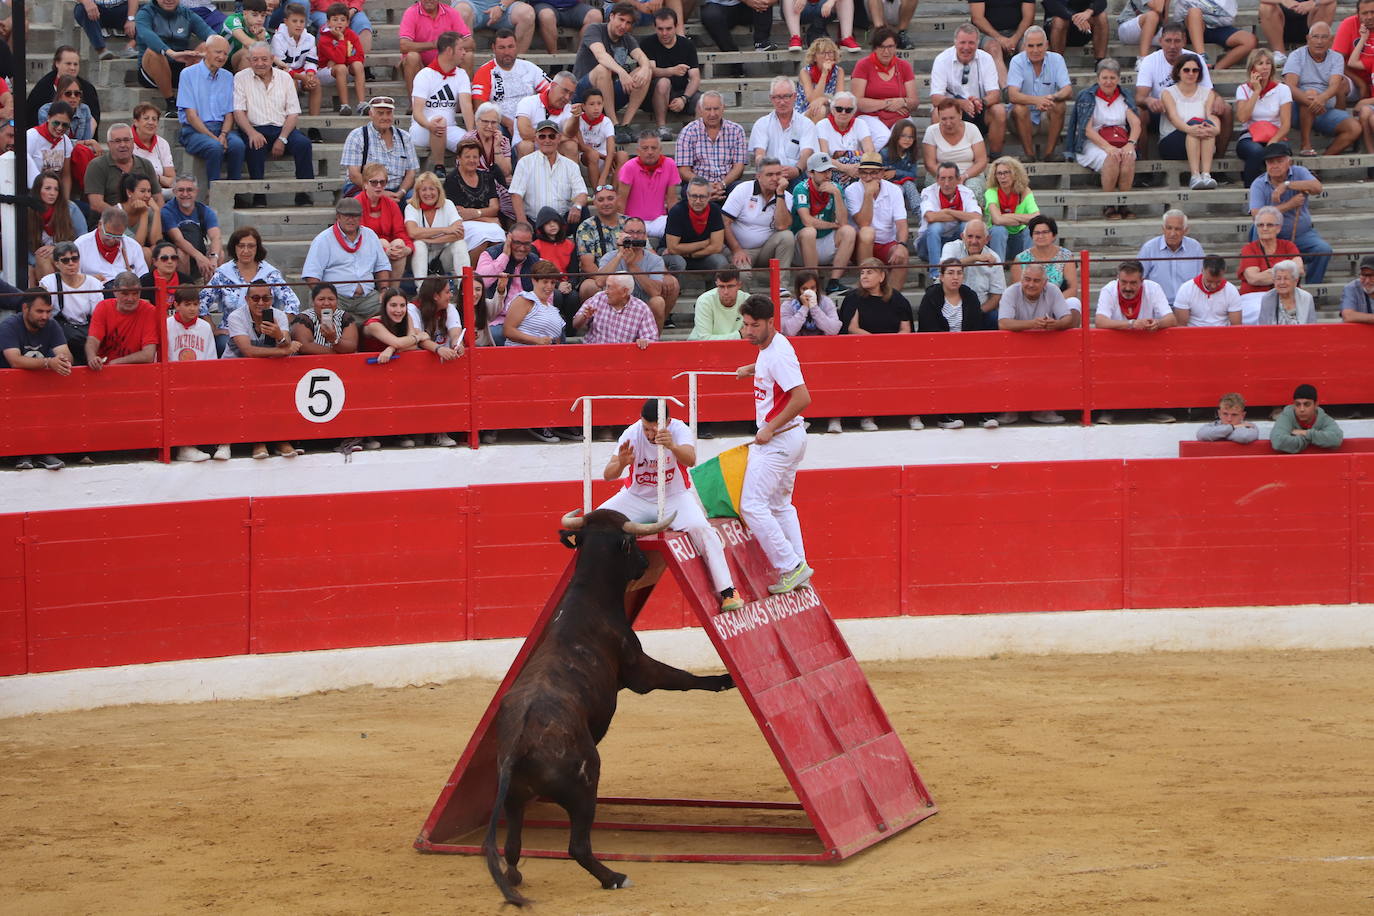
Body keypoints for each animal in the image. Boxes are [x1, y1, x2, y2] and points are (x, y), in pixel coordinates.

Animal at [486, 508, 741, 911]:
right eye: (633, 543)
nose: (644, 563)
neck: (588, 595)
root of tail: (519, 747)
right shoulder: (640, 670)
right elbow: (681, 678)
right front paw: (723, 679)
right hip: (585, 783)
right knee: (577, 846)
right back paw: (615, 877)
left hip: (513, 799)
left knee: (511, 847)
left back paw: (517, 878)